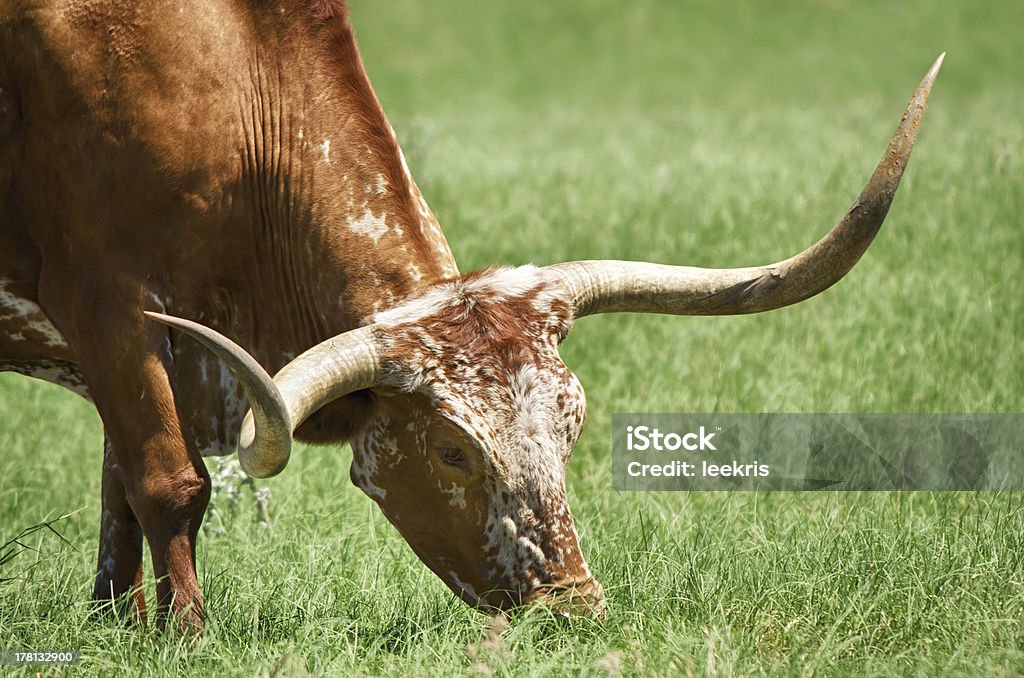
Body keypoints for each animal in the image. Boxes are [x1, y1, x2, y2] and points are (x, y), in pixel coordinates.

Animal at [2, 0, 942, 630]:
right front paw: (189, 638)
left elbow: (121, 492)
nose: (574, 610)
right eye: (452, 451)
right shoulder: (108, 306)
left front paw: (119, 627)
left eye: (572, 426)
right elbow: (170, 484)